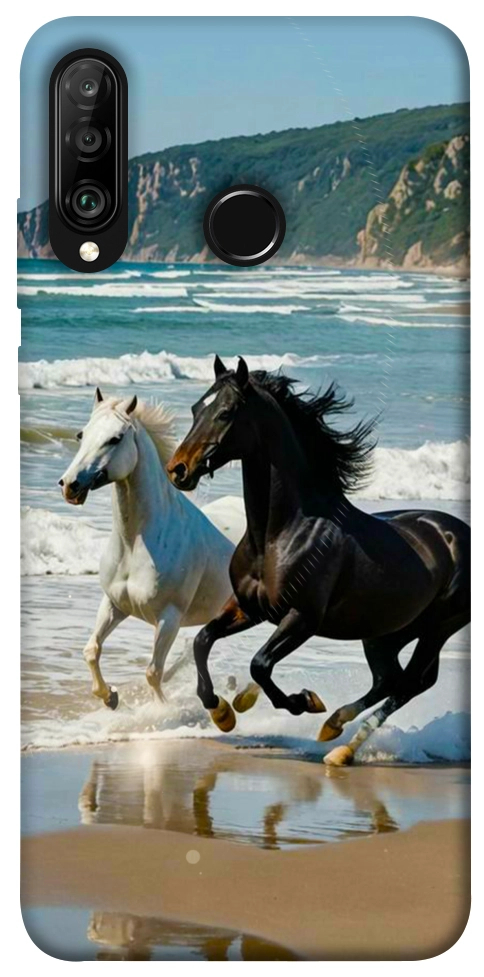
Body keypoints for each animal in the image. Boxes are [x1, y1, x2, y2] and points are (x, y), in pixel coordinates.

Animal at [59, 388, 234, 709]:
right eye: (81, 434)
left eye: (115, 438)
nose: (70, 485)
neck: (135, 544)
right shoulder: (114, 604)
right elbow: (91, 650)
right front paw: (110, 697)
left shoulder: (169, 618)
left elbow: (153, 672)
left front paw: (161, 711)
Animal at [166, 356, 470, 765]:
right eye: (197, 408)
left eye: (226, 412)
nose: (178, 469)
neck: (279, 534)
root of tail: (458, 533)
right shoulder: (249, 608)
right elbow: (202, 640)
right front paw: (223, 712)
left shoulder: (302, 618)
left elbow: (260, 664)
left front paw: (303, 701)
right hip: (386, 632)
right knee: (390, 679)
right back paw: (334, 728)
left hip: (438, 627)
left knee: (410, 683)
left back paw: (340, 746)